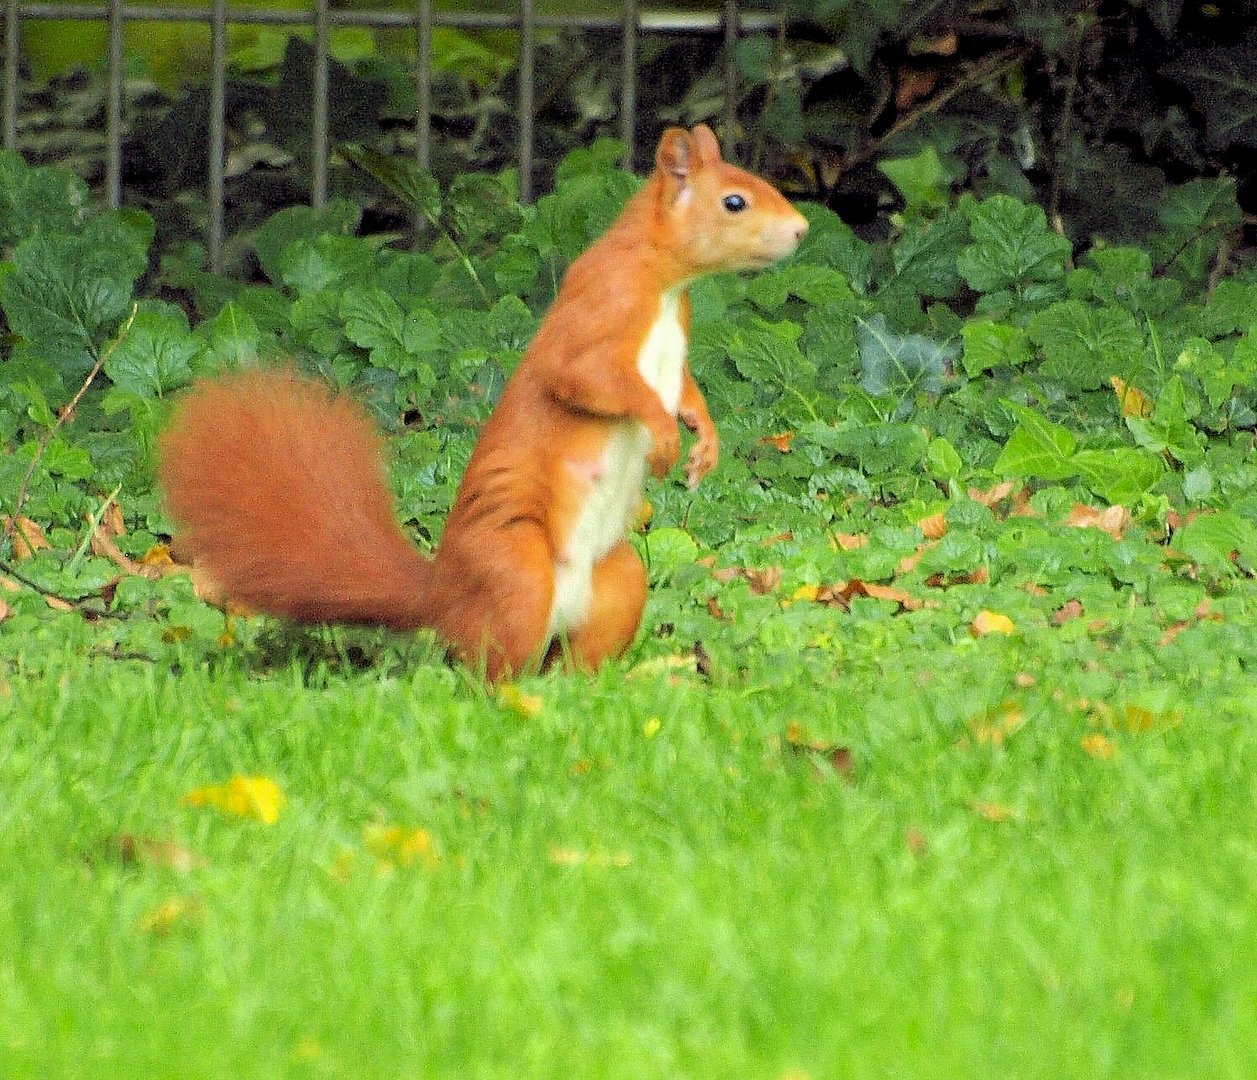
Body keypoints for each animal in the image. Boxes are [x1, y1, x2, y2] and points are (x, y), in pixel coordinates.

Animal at [159, 126, 804, 678]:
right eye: (734, 202)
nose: (801, 231)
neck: (666, 284)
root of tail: (444, 596)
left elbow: (687, 391)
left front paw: (705, 439)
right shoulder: (600, 311)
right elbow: (588, 382)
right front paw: (665, 436)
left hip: (618, 582)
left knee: (577, 655)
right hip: (517, 573)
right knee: (490, 671)